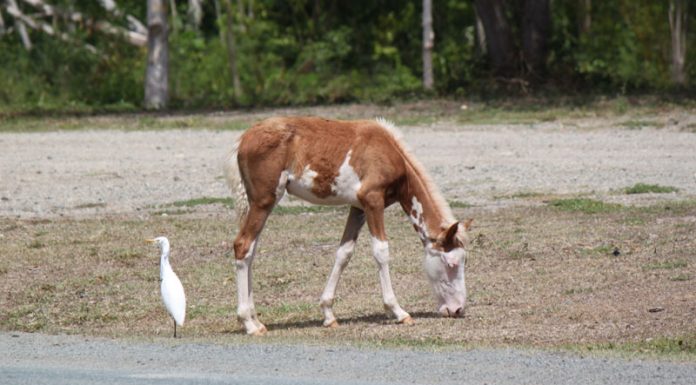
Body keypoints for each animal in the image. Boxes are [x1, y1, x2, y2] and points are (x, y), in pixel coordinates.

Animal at [226, 116, 470, 332]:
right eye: (451, 264)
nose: (458, 309)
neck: (389, 152)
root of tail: (244, 138)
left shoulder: (358, 207)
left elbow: (344, 253)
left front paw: (328, 315)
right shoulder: (373, 201)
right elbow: (381, 251)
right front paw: (398, 312)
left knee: (251, 251)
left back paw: (257, 321)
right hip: (264, 201)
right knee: (243, 245)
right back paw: (248, 324)